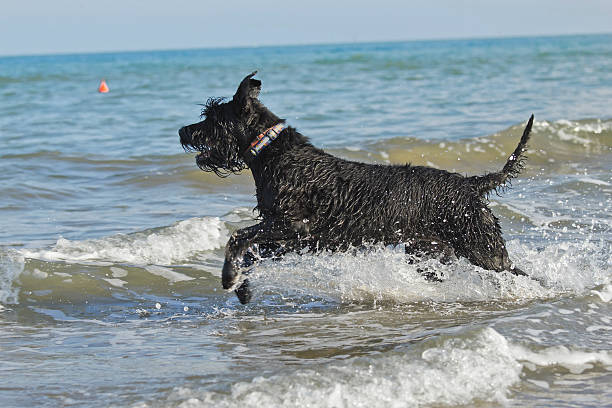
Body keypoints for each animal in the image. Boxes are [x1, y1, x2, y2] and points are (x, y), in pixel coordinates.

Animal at [179, 72, 532, 302]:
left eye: (212, 117)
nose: (183, 131)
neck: (272, 153)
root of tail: (470, 184)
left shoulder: (294, 226)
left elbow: (237, 237)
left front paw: (229, 276)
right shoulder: (286, 238)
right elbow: (251, 252)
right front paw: (242, 287)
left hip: (482, 248)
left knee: (518, 273)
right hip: (427, 253)